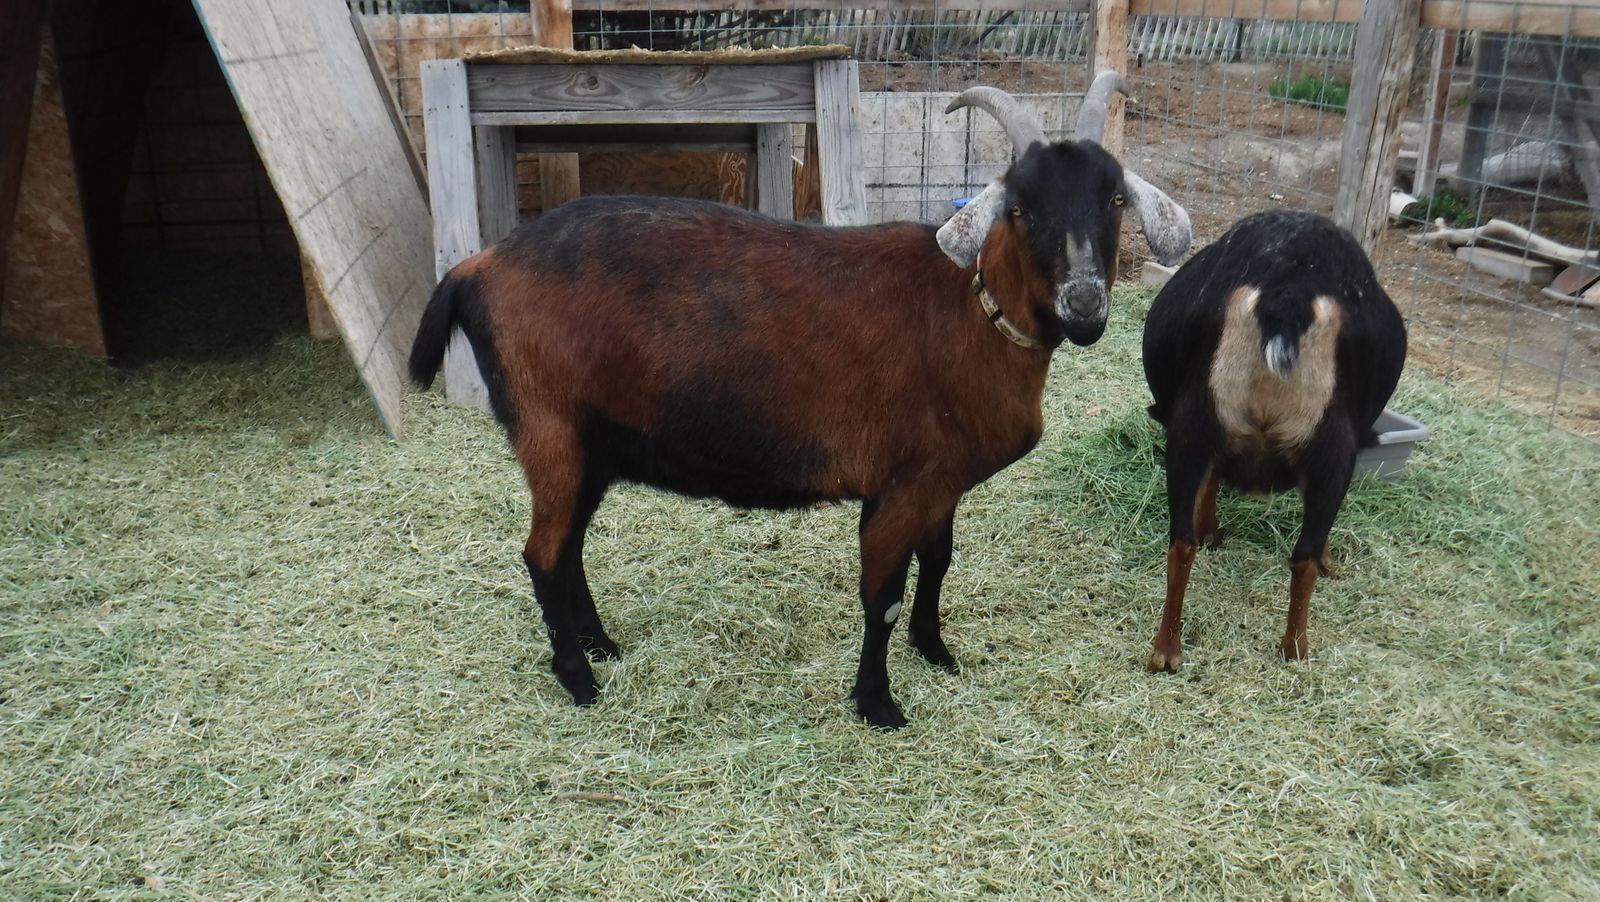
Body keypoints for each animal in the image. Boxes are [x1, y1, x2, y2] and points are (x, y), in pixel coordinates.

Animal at [410, 73, 1191, 728]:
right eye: (1022, 207)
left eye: (1114, 199)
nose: (1085, 305)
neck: (971, 312)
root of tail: (480, 264)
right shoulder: (900, 486)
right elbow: (882, 595)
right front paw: (878, 705)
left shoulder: (941, 481)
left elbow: (938, 563)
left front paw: (936, 651)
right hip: (551, 434)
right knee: (542, 555)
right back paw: (579, 680)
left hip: (591, 450)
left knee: (567, 548)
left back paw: (602, 646)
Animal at [1140, 211, 1406, 672]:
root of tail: (1288, 293)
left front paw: (1211, 531)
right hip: (1330, 442)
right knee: (1304, 556)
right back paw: (1295, 649)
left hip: (1193, 429)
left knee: (1182, 543)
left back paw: (1168, 651)